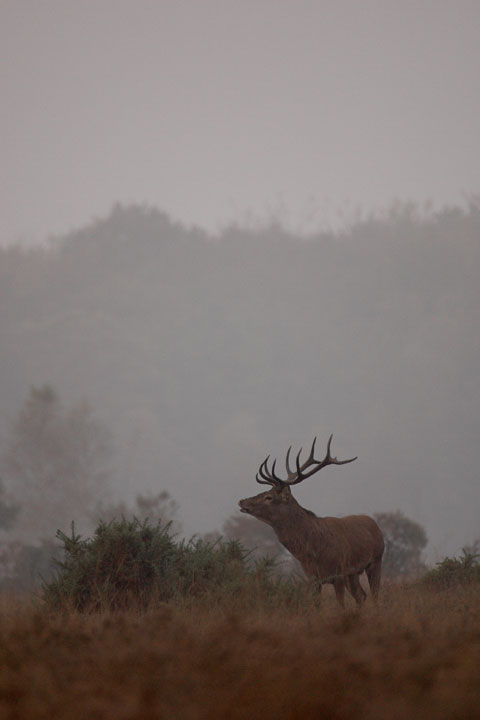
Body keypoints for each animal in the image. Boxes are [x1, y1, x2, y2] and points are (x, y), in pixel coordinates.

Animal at [238, 435, 384, 607]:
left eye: (269, 497)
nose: (242, 501)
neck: (313, 550)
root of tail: (375, 524)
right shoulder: (313, 578)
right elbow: (316, 606)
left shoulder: (338, 573)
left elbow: (341, 606)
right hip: (353, 574)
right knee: (361, 596)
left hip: (376, 560)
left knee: (374, 595)